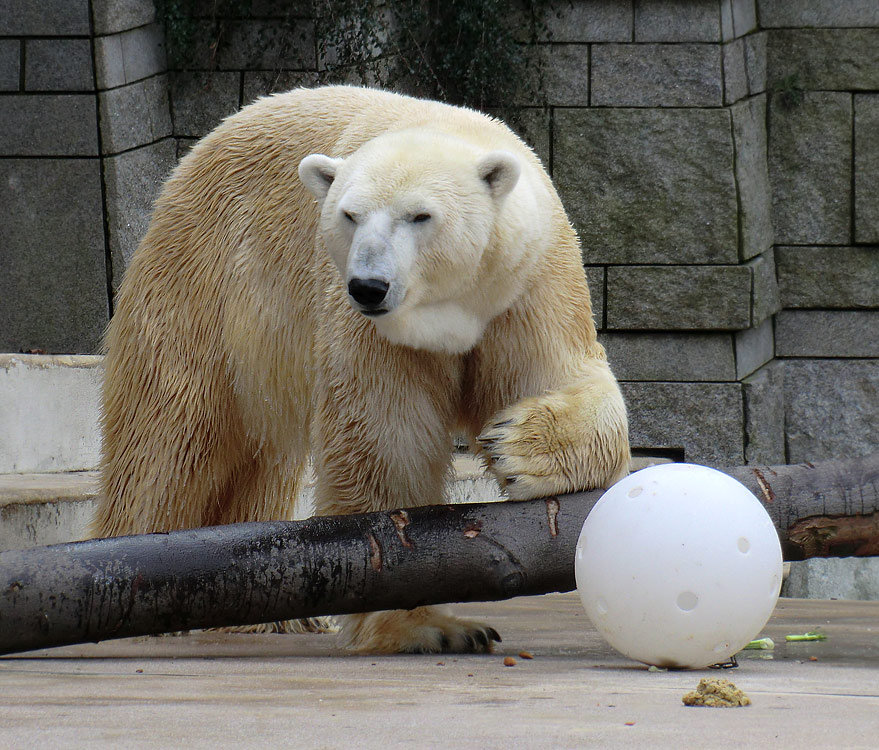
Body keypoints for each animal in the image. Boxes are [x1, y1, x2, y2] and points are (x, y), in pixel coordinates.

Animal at [94, 85, 632, 656]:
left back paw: (270, 614)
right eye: (350, 215)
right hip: (204, 280)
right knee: (169, 435)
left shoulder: (528, 286)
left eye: (420, 216)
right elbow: (384, 434)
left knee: (257, 454)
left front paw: (515, 447)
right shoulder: (367, 326)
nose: (369, 286)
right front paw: (426, 625)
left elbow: (558, 377)